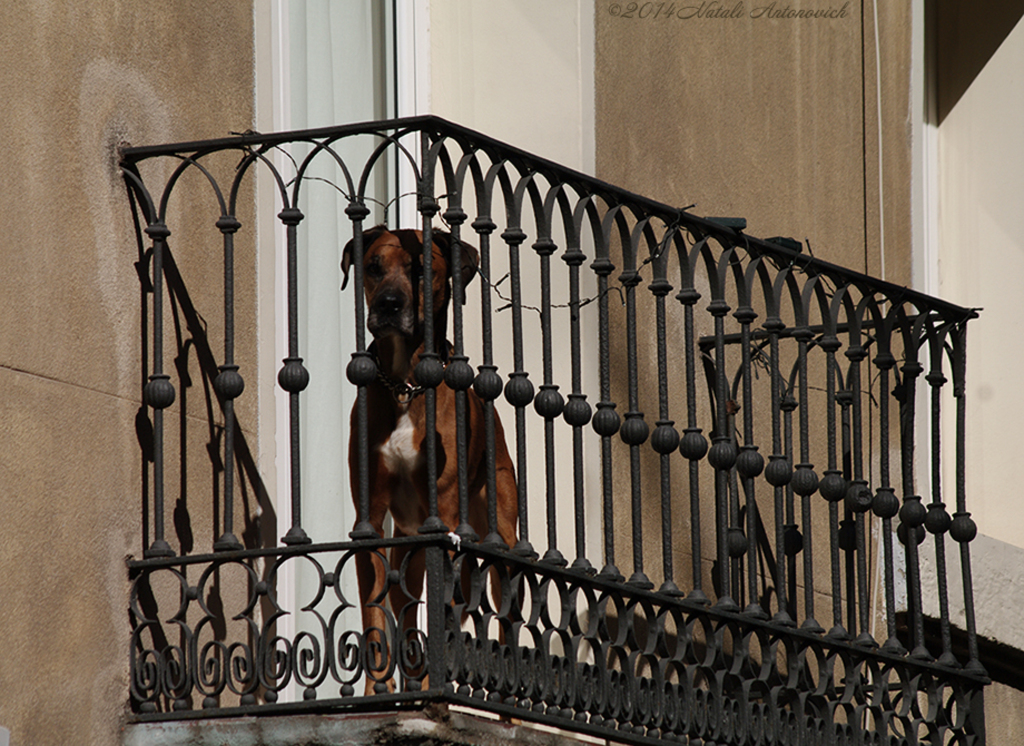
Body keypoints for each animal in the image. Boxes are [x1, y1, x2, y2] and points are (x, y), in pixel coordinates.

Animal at [342, 225, 516, 691]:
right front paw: (375, 690)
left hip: (501, 537)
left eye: (421, 270)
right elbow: (374, 623)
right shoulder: (371, 522)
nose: (388, 304)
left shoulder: (450, 522)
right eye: (373, 268)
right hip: (409, 552)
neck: (405, 384)